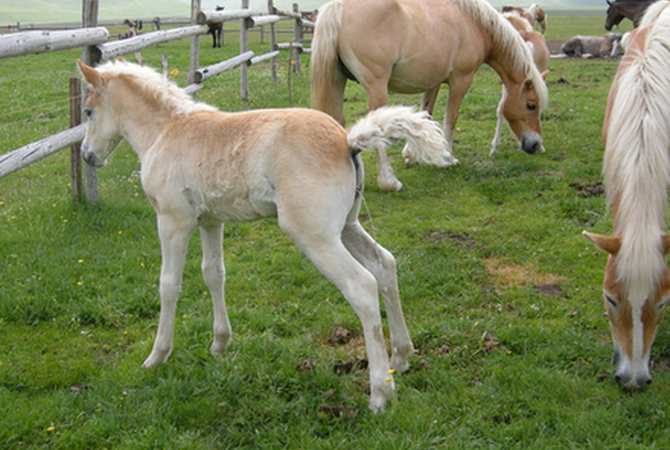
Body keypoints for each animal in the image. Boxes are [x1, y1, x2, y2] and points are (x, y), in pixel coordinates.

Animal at [75, 59, 456, 412]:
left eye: (89, 111)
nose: (87, 155)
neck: (164, 131)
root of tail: (346, 140)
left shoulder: (173, 221)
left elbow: (169, 284)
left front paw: (157, 356)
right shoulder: (210, 221)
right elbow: (214, 274)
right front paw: (219, 344)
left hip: (314, 236)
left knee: (362, 286)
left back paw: (379, 393)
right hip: (347, 227)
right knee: (385, 265)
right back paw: (401, 358)